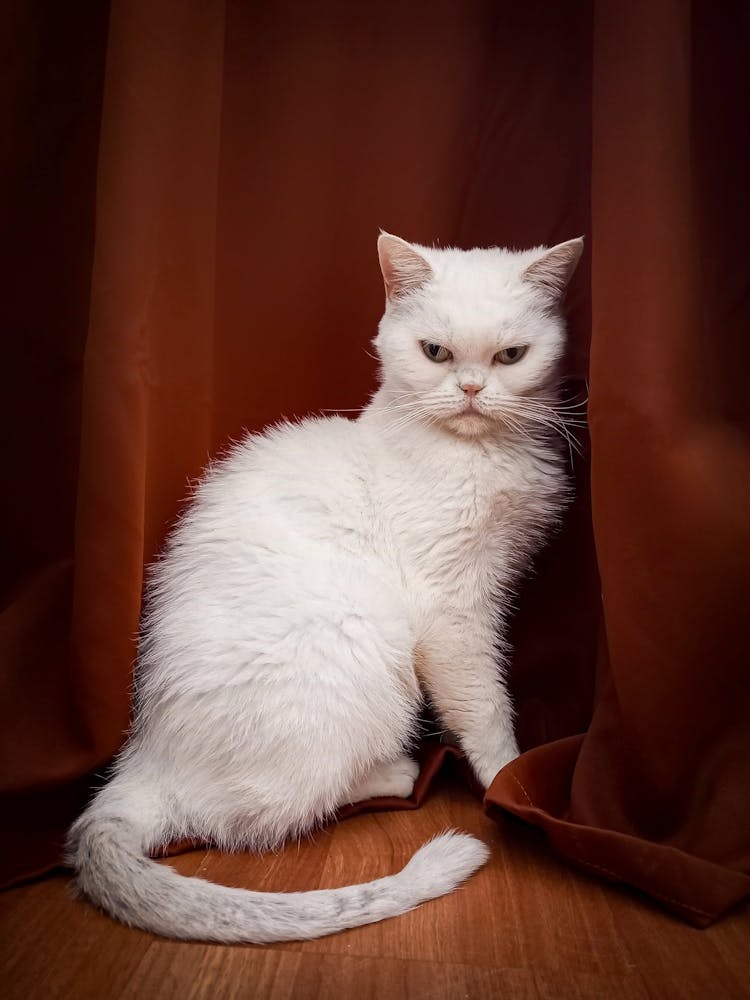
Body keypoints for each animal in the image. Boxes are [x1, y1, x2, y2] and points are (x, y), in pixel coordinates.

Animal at [67, 230, 584, 940]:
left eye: (512, 356)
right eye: (435, 352)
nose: (473, 388)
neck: (477, 453)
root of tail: (143, 764)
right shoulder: (451, 611)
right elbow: (483, 706)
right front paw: (507, 779)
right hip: (362, 642)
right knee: (263, 811)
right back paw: (398, 770)